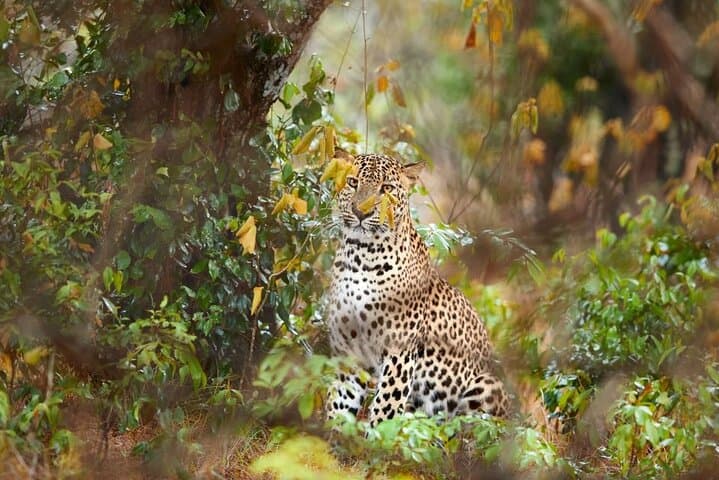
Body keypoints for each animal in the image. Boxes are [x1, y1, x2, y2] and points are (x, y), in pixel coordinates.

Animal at [325, 152, 508, 426]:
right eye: (352, 182)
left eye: (386, 188)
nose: (360, 212)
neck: (361, 256)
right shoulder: (348, 348)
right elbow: (339, 401)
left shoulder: (399, 351)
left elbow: (385, 409)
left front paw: (376, 435)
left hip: (486, 386)